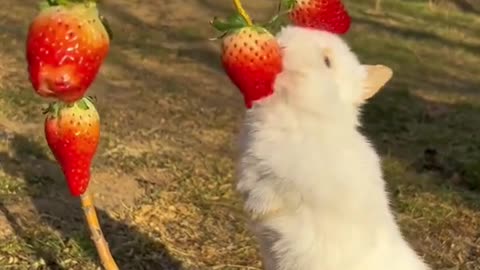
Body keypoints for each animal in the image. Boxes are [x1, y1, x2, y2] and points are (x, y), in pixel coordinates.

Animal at [233, 25, 432, 270]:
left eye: (327, 61)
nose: (281, 47)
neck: (301, 116)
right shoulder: (252, 163)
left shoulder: (303, 187)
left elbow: (279, 193)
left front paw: (258, 209)